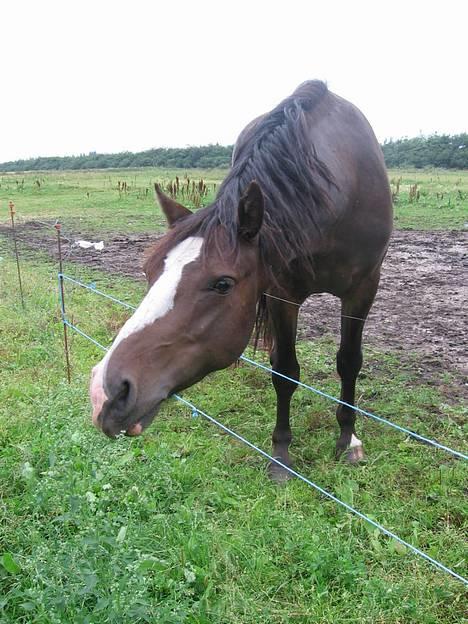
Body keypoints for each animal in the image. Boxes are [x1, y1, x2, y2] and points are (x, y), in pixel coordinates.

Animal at [89, 80, 394, 480]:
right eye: (149, 272)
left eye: (223, 283)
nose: (105, 393)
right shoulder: (282, 294)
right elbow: (285, 371)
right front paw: (281, 455)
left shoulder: (363, 288)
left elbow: (349, 361)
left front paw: (347, 439)